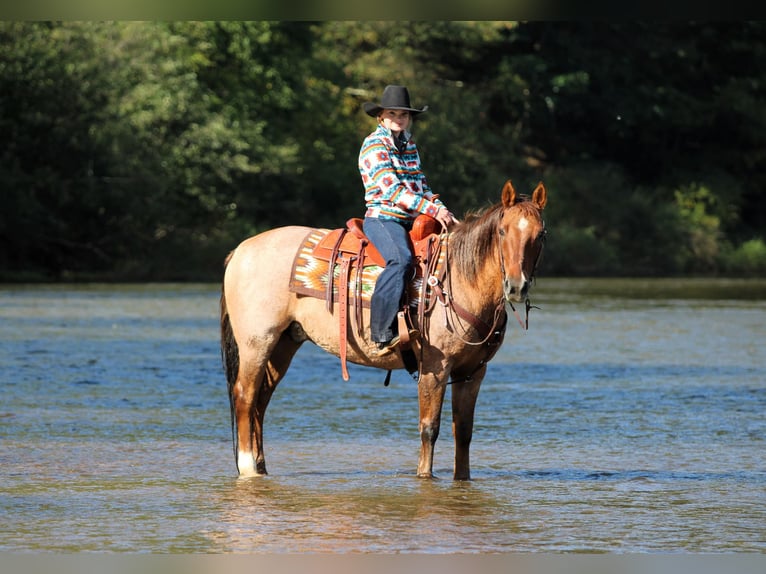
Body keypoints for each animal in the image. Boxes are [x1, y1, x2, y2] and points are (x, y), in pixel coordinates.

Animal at [220, 179, 547, 480]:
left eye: (540, 234)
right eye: (503, 231)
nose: (516, 286)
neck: (460, 279)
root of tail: (240, 251)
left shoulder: (472, 372)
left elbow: (463, 433)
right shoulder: (434, 367)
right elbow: (429, 429)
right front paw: (424, 477)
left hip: (284, 343)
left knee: (260, 401)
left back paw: (261, 467)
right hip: (257, 342)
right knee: (245, 395)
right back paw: (248, 468)